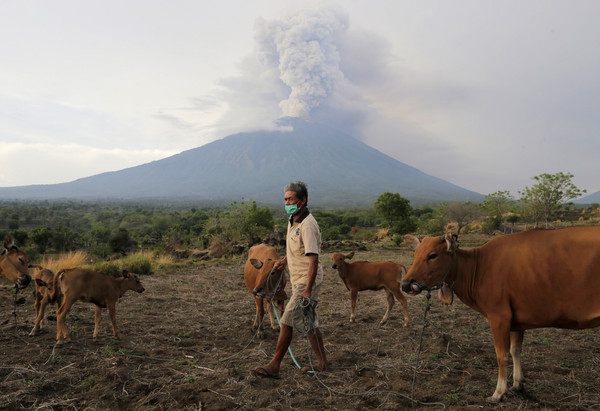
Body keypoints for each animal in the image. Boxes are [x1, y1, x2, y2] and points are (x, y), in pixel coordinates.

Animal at [400, 230, 600, 404]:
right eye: (415, 254)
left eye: (432, 255)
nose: (406, 283)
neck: (478, 267)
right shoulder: (517, 321)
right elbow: (515, 350)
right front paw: (517, 384)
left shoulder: (499, 318)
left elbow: (501, 355)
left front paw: (498, 392)